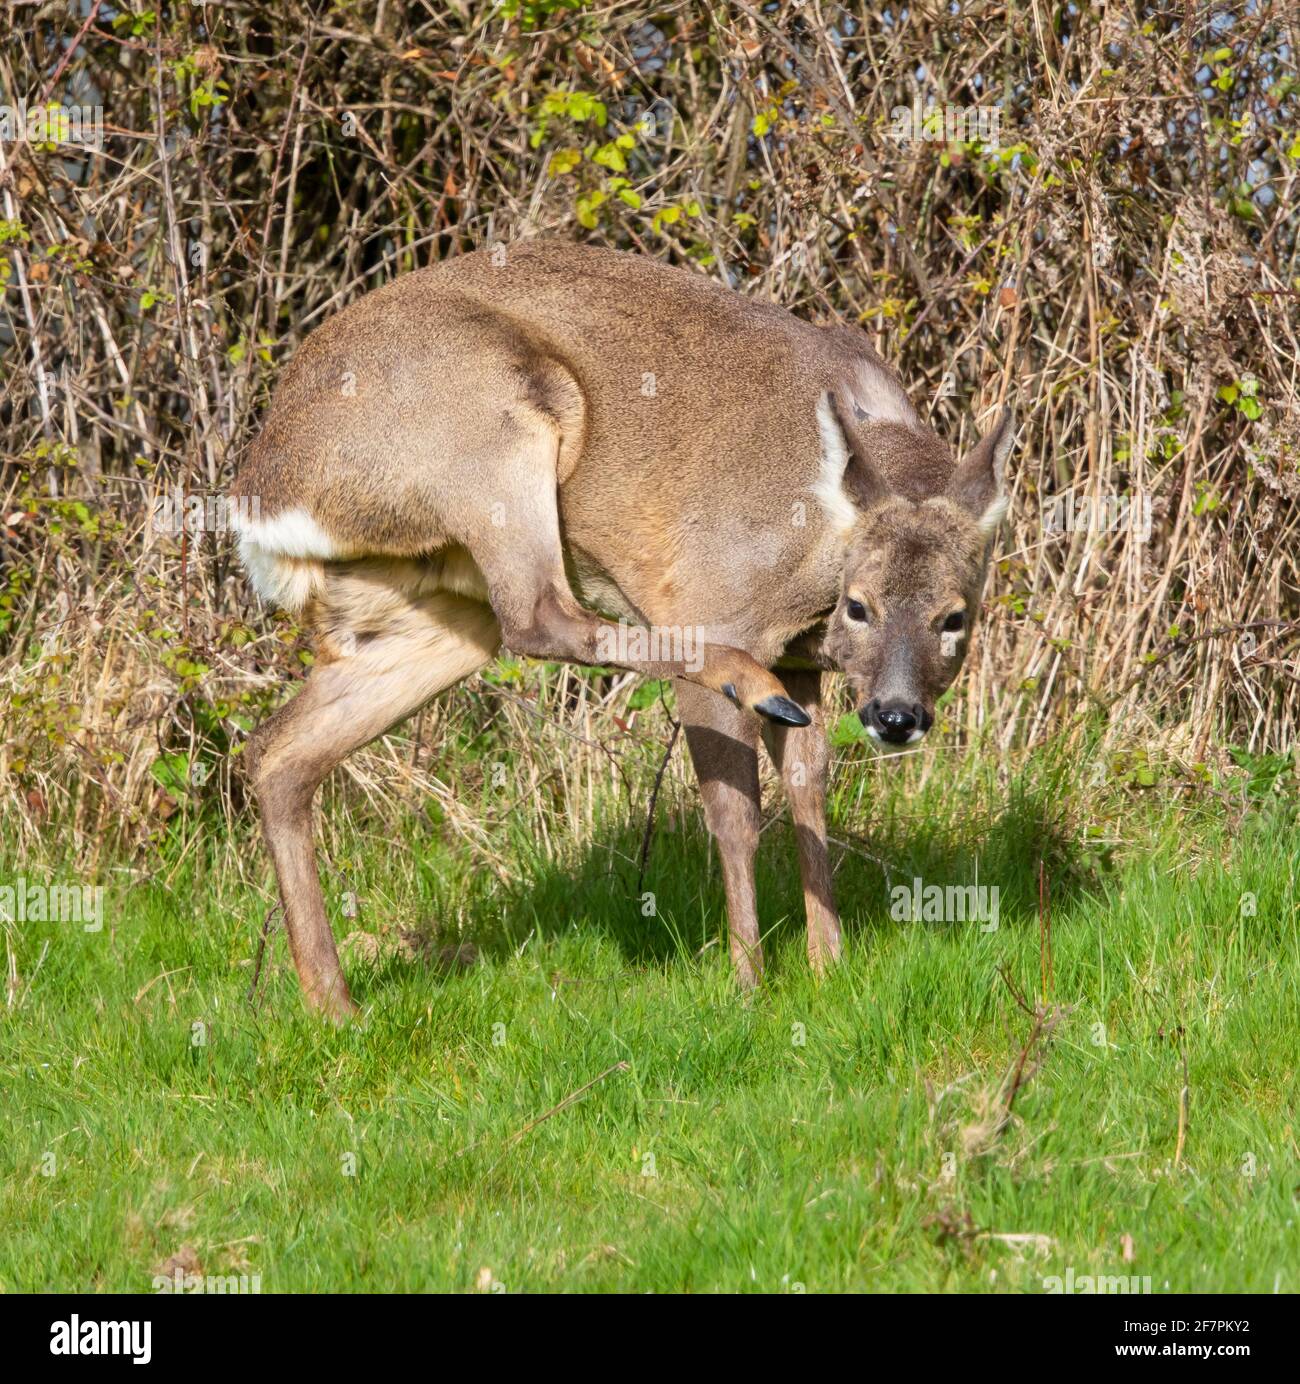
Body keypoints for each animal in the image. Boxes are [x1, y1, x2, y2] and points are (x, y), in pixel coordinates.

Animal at [230, 239, 1013, 1021]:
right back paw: (745, 683)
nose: (897, 716)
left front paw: (829, 968)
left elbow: (808, 790)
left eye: (955, 616)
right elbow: (734, 812)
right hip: (495, 429)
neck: (815, 538)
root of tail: (263, 491)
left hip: (431, 608)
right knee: (542, 618)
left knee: (279, 752)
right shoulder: (718, 599)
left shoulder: (805, 664)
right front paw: (749, 983)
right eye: (859, 605)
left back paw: (334, 1006)